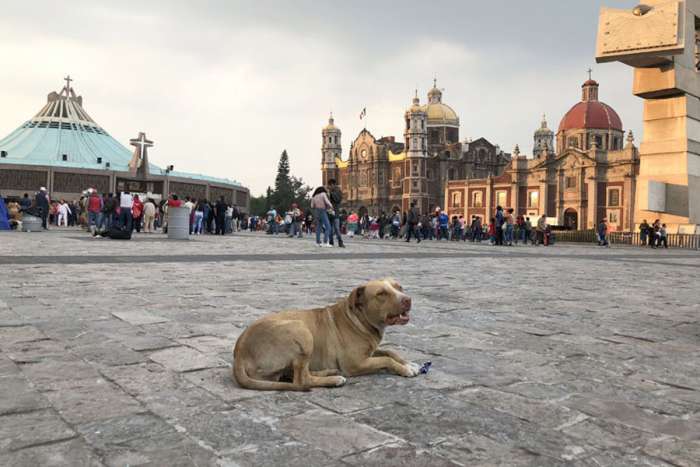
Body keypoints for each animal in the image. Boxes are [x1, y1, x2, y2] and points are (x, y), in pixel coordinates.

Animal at [235, 278, 422, 392]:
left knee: (293, 375)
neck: (358, 318)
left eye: (399, 287)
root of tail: (239, 354)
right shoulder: (356, 363)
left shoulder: (369, 352)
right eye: (381, 294)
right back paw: (334, 379)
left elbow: (390, 352)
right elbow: (386, 359)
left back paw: (328, 372)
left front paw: (408, 363)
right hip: (302, 330)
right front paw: (405, 369)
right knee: (301, 380)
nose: (408, 299)